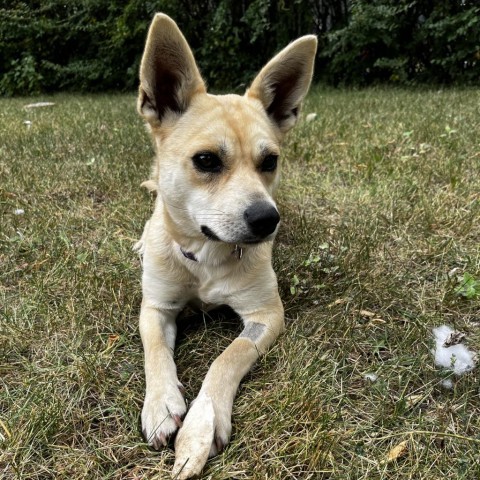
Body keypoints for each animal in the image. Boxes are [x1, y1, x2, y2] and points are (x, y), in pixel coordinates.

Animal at [135, 12, 316, 480]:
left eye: (270, 161)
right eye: (206, 160)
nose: (267, 219)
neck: (206, 257)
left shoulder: (266, 315)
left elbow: (227, 358)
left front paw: (200, 428)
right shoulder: (155, 307)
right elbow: (155, 350)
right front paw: (161, 404)